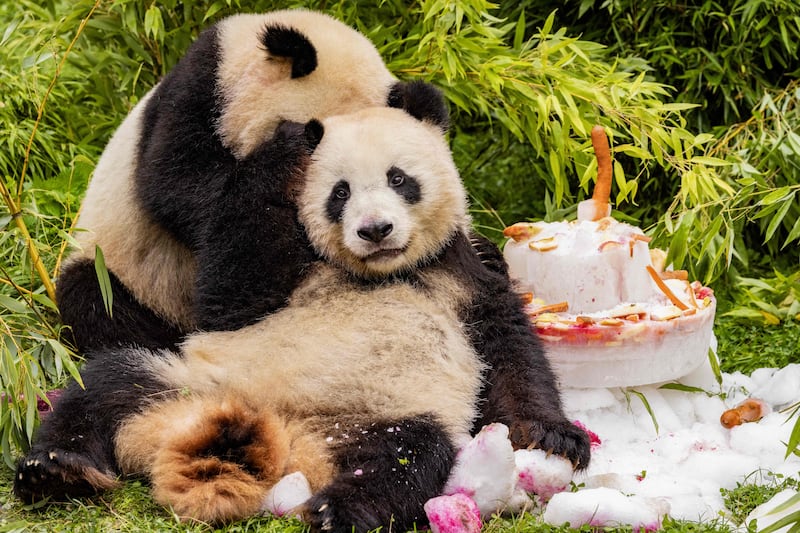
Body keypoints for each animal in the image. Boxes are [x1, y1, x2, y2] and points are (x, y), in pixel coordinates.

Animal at [16, 108, 591, 531]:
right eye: (339, 191)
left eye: (398, 178)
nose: (375, 230)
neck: (381, 274)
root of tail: (278, 439)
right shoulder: (283, 273)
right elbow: (229, 295)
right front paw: (289, 141)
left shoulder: (459, 274)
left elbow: (507, 345)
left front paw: (553, 437)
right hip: (188, 380)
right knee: (103, 387)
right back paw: (55, 473)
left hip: (373, 419)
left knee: (408, 458)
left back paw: (336, 511)